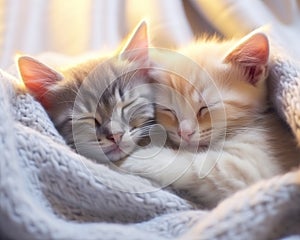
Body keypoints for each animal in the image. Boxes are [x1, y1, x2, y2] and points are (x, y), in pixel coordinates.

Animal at [119, 31, 300, 208]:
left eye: (205, 108)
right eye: (169, 110)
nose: (184, 133)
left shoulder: (250, 170)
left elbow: (196, 164)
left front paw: (140, 158)